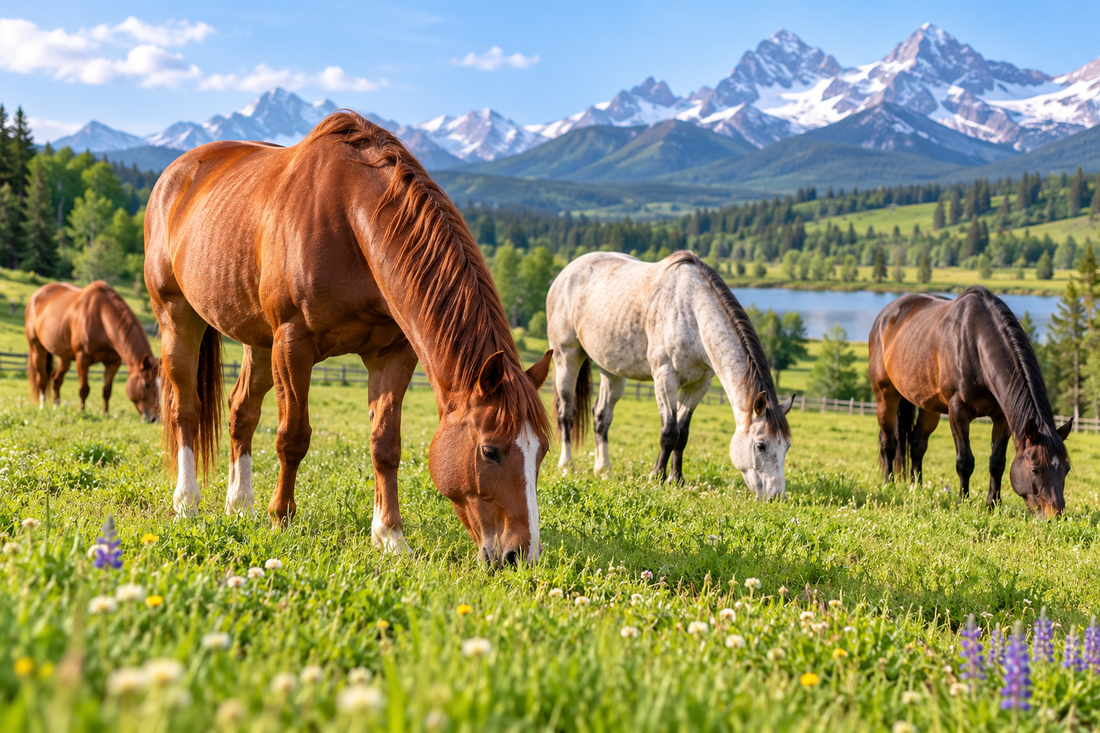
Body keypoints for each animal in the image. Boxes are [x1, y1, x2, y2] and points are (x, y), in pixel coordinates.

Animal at [25, 281, 160, 421]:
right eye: (146, 384)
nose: (155, 418)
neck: (101, 318)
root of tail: (36, 295)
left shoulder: (113, 362)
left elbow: (107, 390)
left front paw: (104, 413)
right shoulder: (82, 359)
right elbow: (84, 389)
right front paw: (81, 411)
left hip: (64, 356)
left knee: (57, 379)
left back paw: (56, 405)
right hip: (37, 350)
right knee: (42, 378)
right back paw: (43, 405)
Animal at [144, 111, 552, 566]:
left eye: (542, 451)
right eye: (490, 451)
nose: (521, 555)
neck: (352, 220)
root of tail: (176, 174)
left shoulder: (392, 353)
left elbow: (385, 444)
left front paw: (390, 536)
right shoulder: (293, 344)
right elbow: (293, 437)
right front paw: (281, 518)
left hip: (258, 342)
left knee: (241, 412)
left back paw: (240, 505)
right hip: (178, 319)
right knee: (186, 410)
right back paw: (187, 502)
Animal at [547, 250, 794, 497]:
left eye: (787, 446)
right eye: (760, 445)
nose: (776, 496)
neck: (693, 313)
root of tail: (566, 273)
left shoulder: (699, 385)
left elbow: (682, 434)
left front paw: (677, 479)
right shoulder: (665, 377)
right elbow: (669, 433)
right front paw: (657, 476)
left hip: (611, 370)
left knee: (601, 417)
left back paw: (603, 470)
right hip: (566, 358)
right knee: (566, 413)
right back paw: (566, 465)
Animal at [868, 285, 1071, 516]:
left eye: (1066, 469)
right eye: (1035, 470)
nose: (1056, 515)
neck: (975, 345)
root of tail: (886, 315)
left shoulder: (1001, 417)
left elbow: (997, 462)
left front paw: (993, 503)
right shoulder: (958, 411)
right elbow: (964, 461)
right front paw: (963, 502)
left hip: (929, 407)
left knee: (917, 444)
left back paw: (916, 487)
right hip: (885, 397)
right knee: (889, 443)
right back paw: (889, 485)